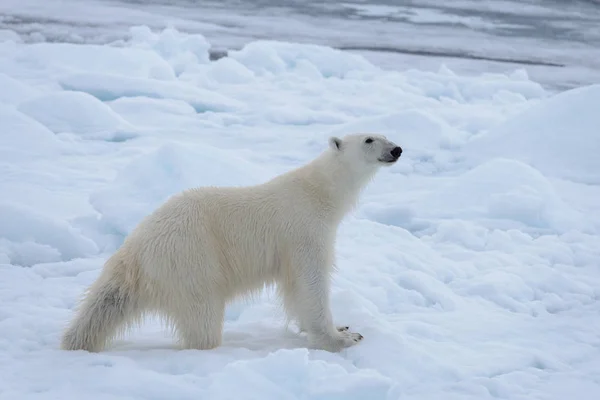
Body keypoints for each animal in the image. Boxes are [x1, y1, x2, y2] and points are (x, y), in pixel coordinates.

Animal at [61, 134, 404, 354]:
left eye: (386, 135)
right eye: (369, 139)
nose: (397, 149)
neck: (319, 192)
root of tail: (133, 251)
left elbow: (295, 288)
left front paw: (341, 328)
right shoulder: (303, 230)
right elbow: (311, 281)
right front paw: (342, 338)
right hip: (191, 259)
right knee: (203, 316)